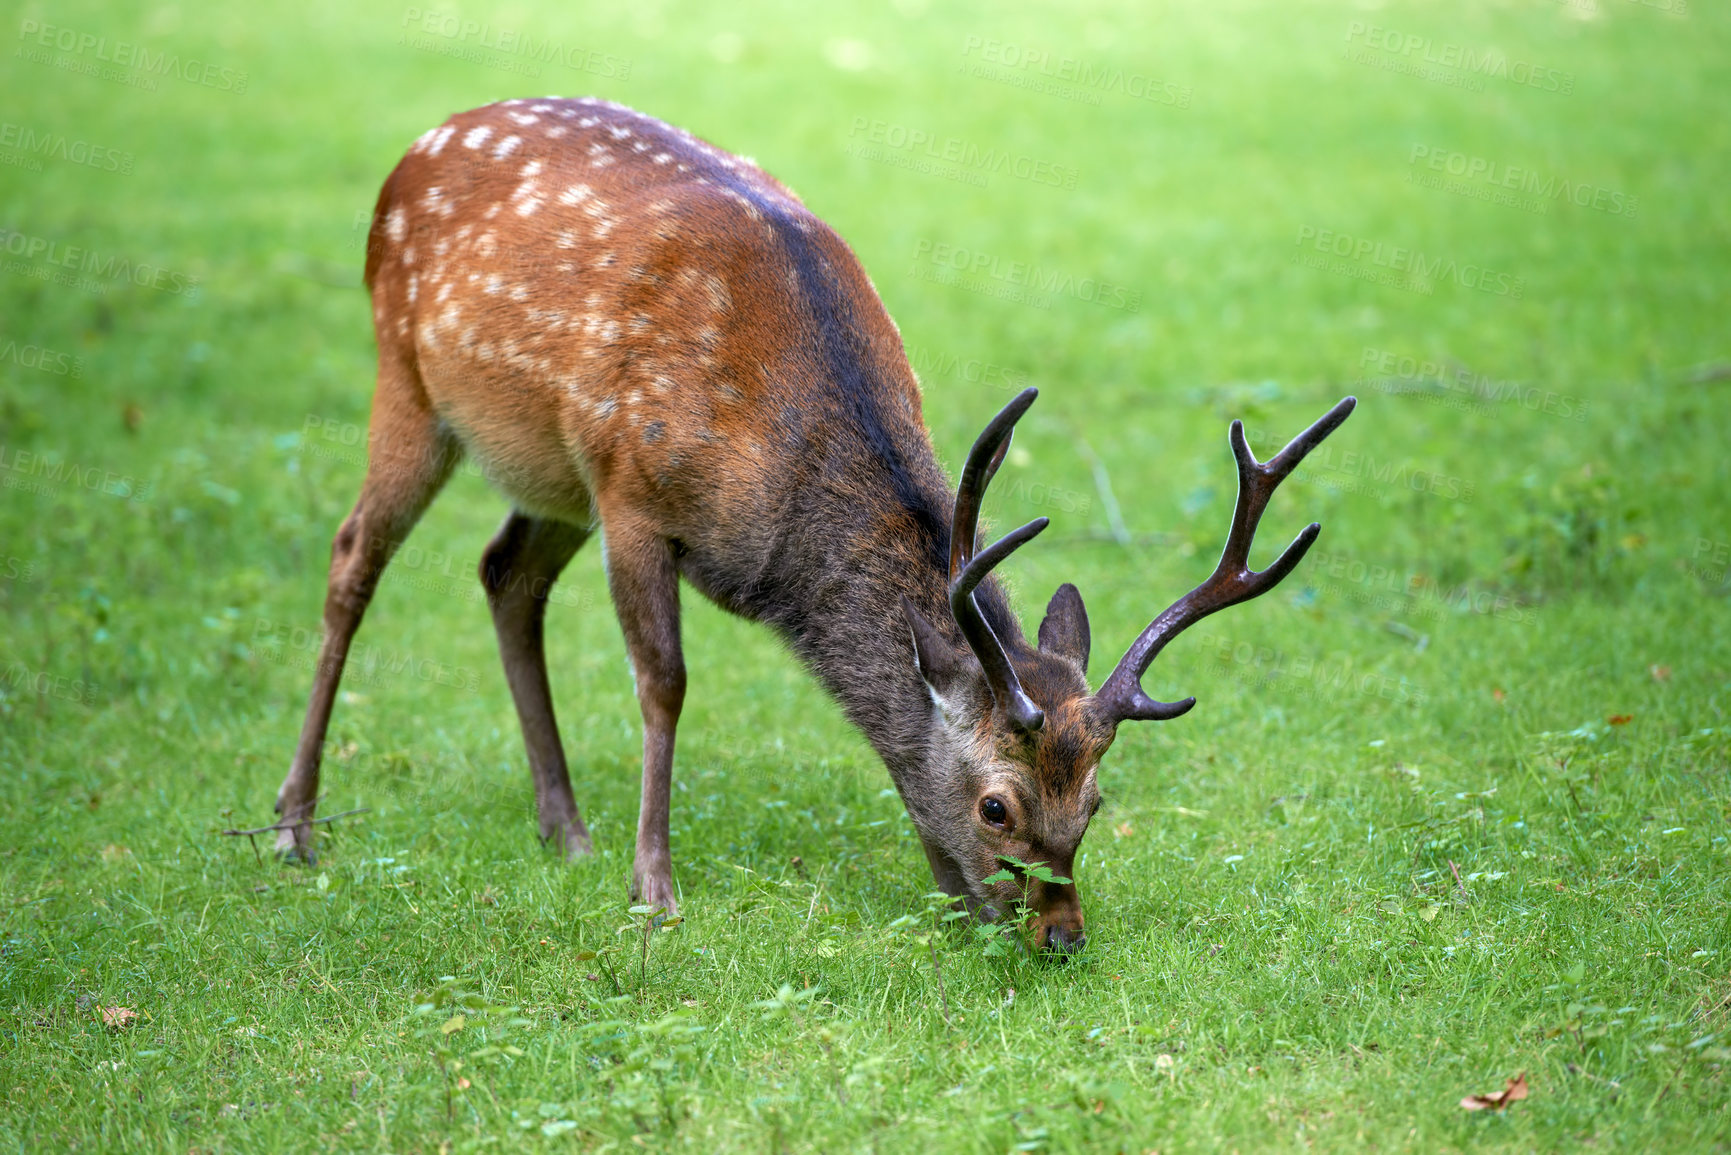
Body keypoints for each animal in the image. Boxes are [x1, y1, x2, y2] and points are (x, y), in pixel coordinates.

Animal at [273, 94, 1350, 955]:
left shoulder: (601, 484)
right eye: (996, 806)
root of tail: (420, 142)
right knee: (352, 557)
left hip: (549, 471)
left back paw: (563, 828)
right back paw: (295, 824)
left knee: (505, 574)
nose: (1061, 936)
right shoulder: (633, 493)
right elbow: (664, 683)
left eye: (1095, 799)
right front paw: (654, 888)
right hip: (411, 380)